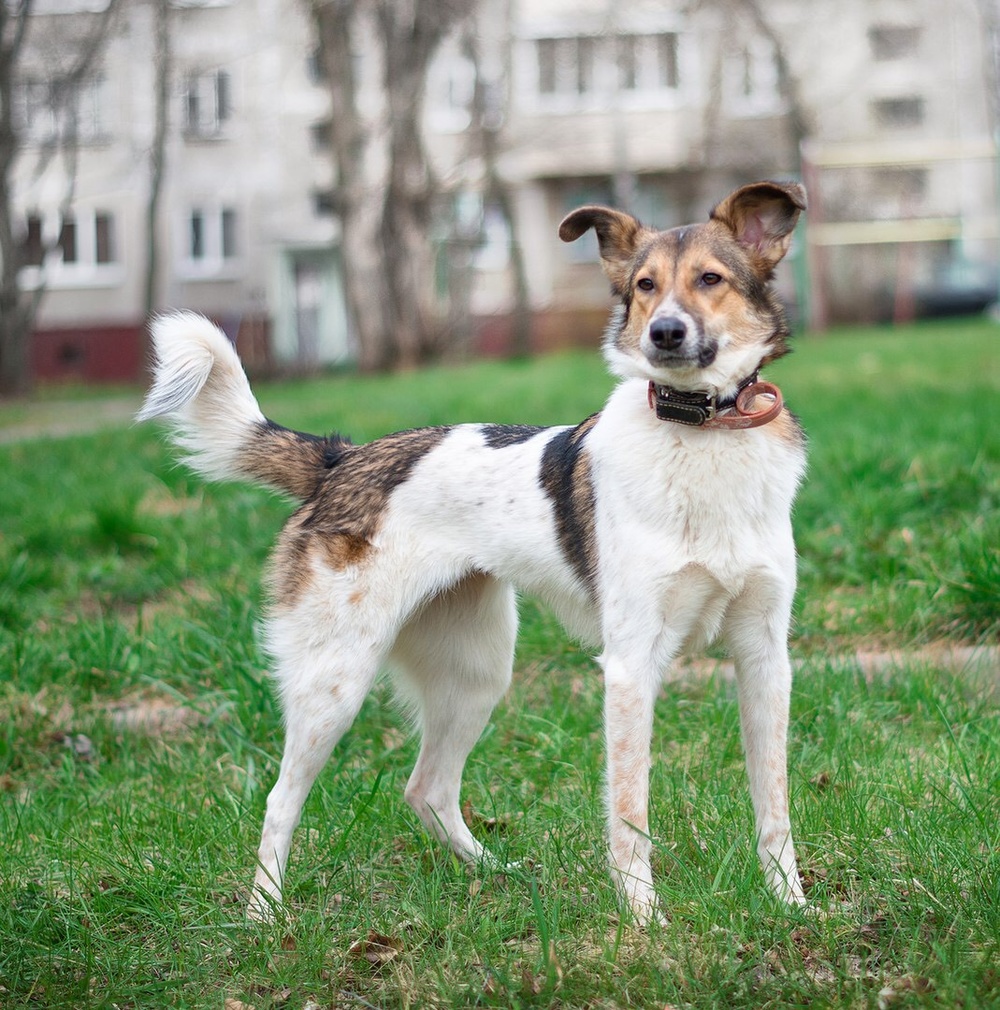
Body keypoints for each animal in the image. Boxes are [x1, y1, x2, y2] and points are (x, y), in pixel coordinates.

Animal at [141, 181, 812, 925]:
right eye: (645, 286)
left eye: (711, 279)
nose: (664, 331)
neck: (704, 433)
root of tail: (340, 460)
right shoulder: (632, 666)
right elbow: (630, 813)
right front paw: (644, 923)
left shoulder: (765, 658)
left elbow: (775, 806)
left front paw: (794, 906)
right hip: (335, 680)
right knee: (281, 799)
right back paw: (264, 915)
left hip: (476, 671)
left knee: (427, 789)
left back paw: (500, 874)